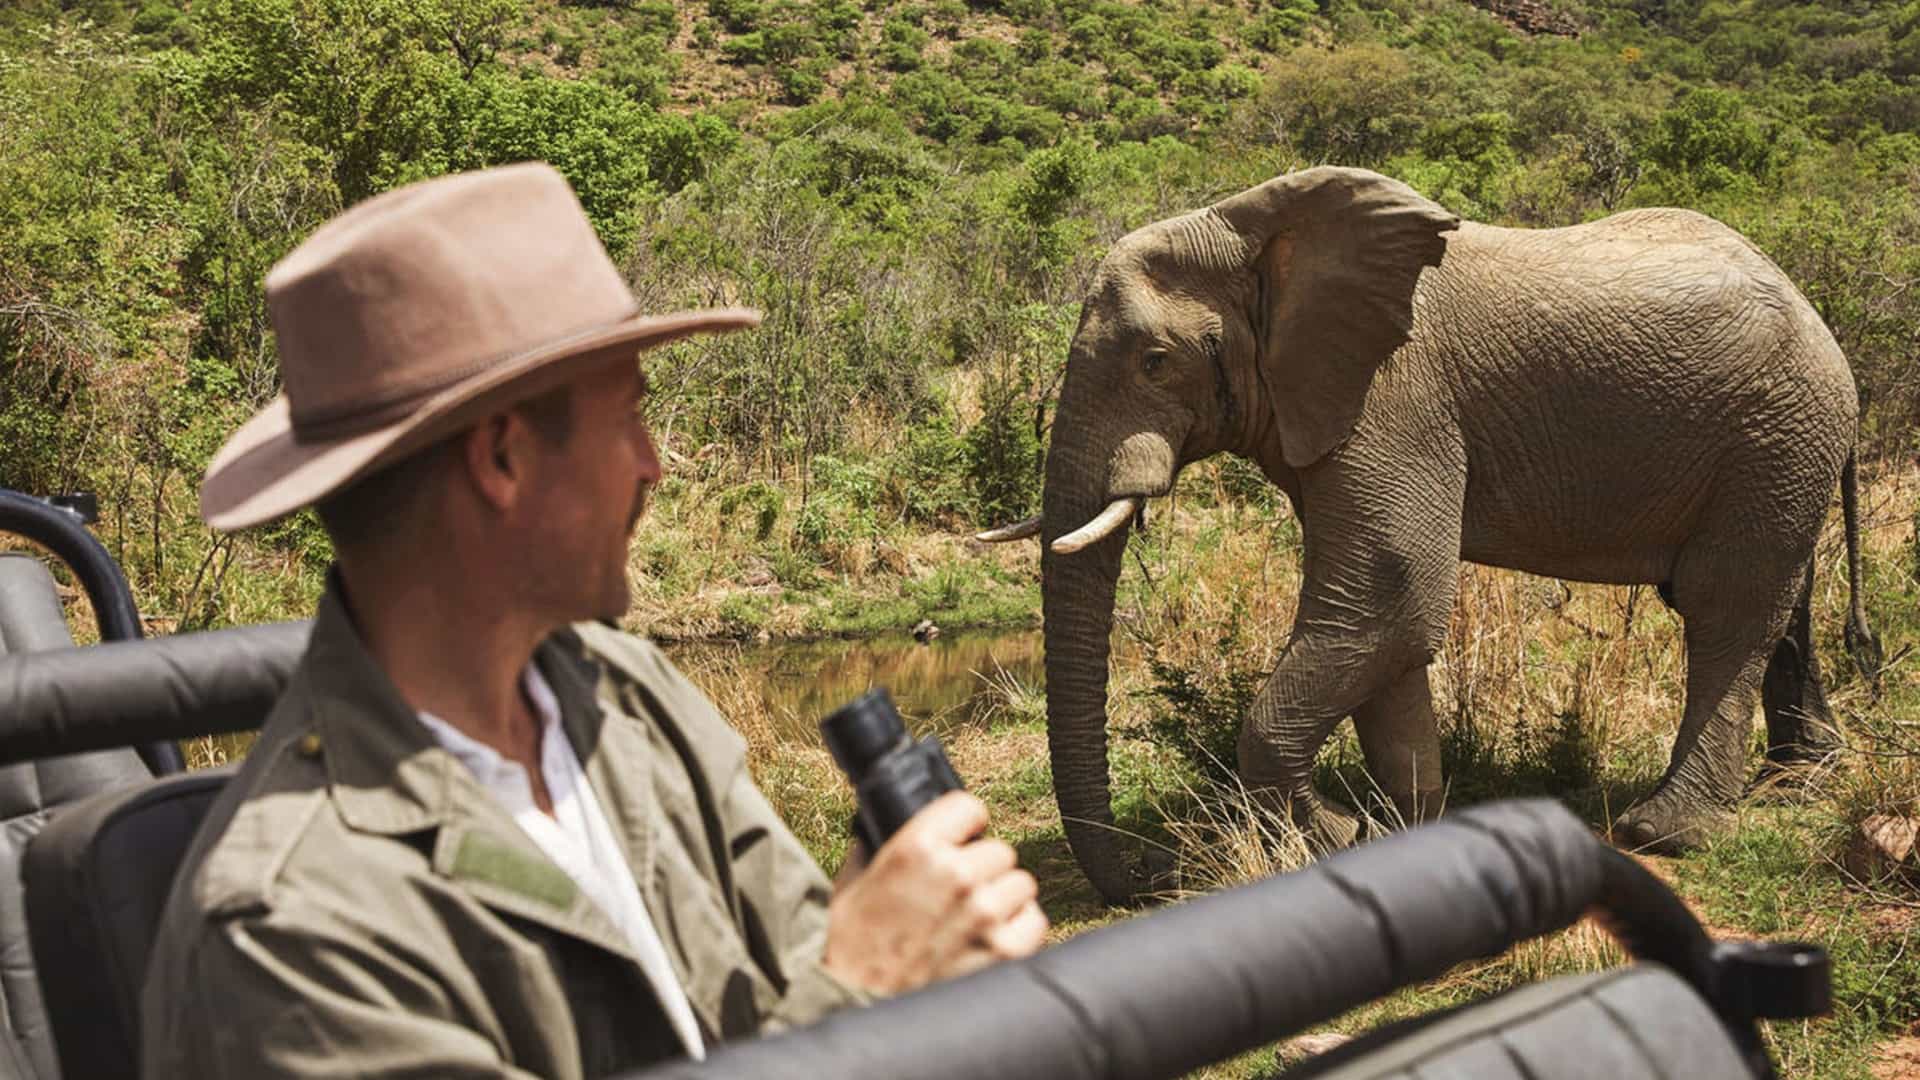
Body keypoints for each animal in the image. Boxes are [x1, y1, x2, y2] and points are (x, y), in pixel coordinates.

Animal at [977, 166, 1879, 906]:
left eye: (1156, 361)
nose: (1154, 870)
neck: (1248, 226)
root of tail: (1820, 320)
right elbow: (1385, 631)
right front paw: (1399, 829)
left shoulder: (1396, 394)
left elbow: (1392, 597)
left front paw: (1334, 834)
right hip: (1780, 447)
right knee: (1782, 607)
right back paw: (1800, 782)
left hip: (1776, 431)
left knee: (1724, 609)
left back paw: (1666, 831)